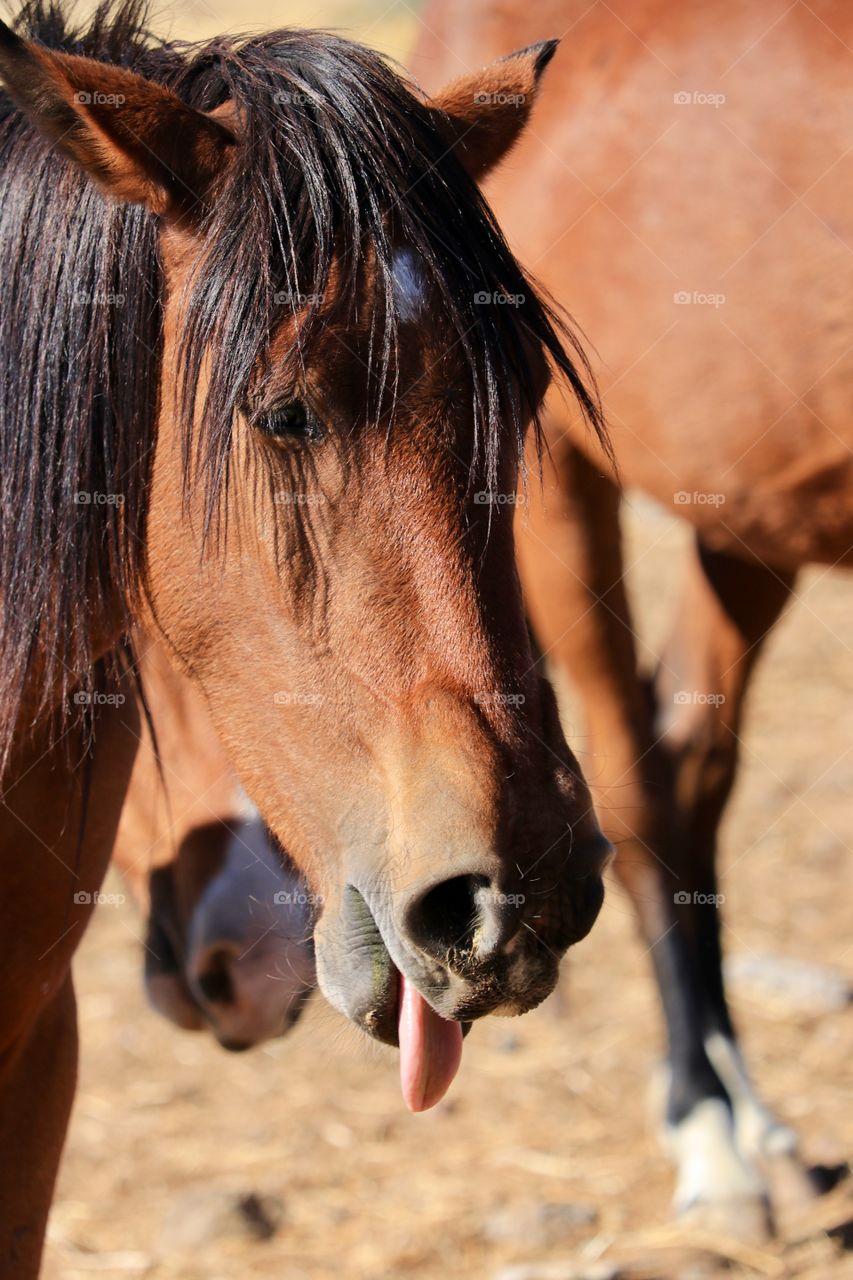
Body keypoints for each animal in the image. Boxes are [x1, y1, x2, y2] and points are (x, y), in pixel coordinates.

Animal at [409, 0, 845, 1239]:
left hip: (751, 511)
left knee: (691, 760)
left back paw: (751, 1114)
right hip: (559, 482)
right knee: (640, 782)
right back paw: (710, 1131)